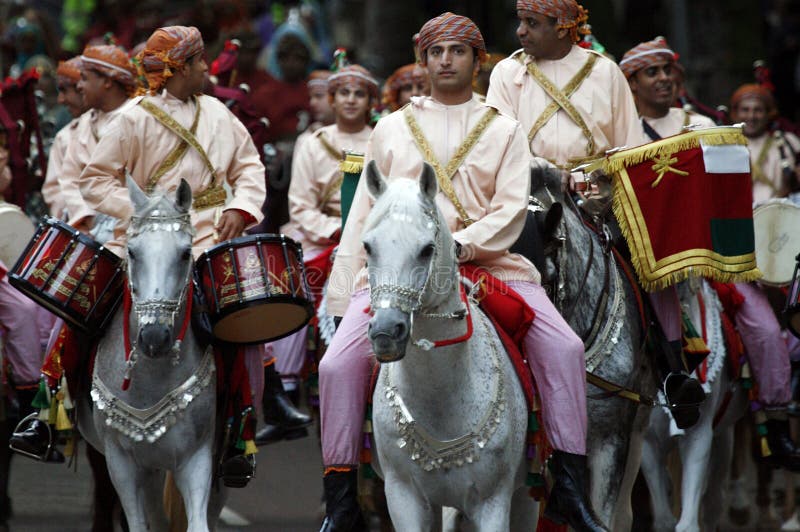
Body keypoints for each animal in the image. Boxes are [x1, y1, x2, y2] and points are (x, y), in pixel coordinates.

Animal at [77, 180, 220, 532]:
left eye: (185, 253)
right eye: (132, 252)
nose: (154, 337)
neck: (153, 377)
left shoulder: (197, 457)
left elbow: (198, 523)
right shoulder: (122, 464)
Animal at [362, 162, 536, 532]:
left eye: (427, 249)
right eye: (368, 247)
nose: (386, 332)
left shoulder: (493, 501)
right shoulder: (403, 497)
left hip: (526, 497)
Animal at [636, 278, 752, 532]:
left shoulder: (699, 434)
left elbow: (688, 522)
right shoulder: (647, 440)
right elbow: (664, 519)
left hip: (723, 437)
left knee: (713, 501)